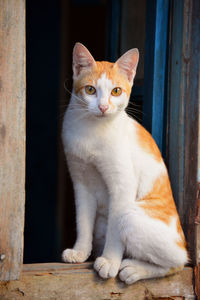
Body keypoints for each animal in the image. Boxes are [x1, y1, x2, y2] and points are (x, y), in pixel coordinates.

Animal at [61, 42, 188, 284]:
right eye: (90, 90)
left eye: (116, 91)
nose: (103, 107)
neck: (91, 132)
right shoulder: (81, 181)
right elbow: (83, 221)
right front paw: (80, 251)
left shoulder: (122, 185)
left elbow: (115, 229)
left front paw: (110, 261)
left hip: (133, 216)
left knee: (178, 263)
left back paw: (133, 269)